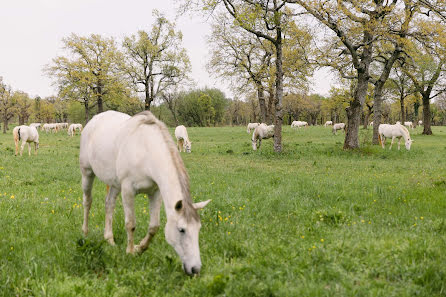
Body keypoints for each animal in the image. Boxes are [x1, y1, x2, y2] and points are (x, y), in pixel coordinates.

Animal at [79, 111, 210, 276]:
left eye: (198, 228)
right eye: (182, 230)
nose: (195, 269)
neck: (145, 151)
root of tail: (93, 120)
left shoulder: (155, 192)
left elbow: (154, 226)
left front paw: (139, 248)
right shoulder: (128, 190)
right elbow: (130, 224)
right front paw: (129, 252)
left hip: (115, 183)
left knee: (109, 204)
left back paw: (109, 239)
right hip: (87, 173)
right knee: (87, 202)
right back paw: (85, 232)